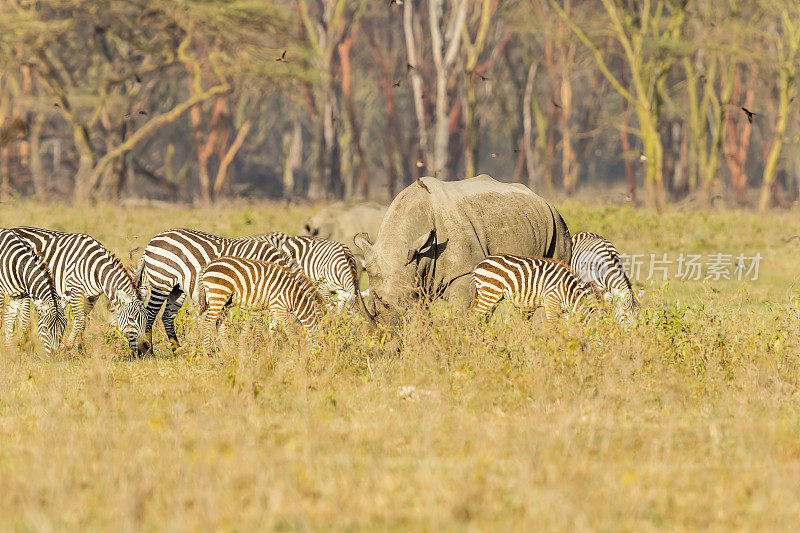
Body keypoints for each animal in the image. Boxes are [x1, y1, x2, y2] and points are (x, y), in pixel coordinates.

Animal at [11, 225, 150, 354]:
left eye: (146, 319)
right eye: (131, 319)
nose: (145, 347)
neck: (96, 270)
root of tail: (15, 229)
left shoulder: (92, 297)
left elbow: (82, 322)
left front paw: (81, 350)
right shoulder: (75, 290)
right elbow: (79, 320)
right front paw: (68, 345)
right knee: (23, 315)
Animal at [134, 228, 294, 354]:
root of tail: (155, 238)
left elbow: (270, 323)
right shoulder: (253, 291)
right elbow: (258, 322)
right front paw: (257, 348)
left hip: (176, 289)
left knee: (167, 316)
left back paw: (178, 351)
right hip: (161, 280)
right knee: (150, 314)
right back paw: (150, 352)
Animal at [198, 255, 326, 352]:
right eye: (321, 343)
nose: (320, 359)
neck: (293, 296)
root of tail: (208, 266)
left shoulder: (274, 308)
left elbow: (272, 329)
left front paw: (269, 350)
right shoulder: (279, 306)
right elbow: (288, 328)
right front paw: (295, 347)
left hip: (226, 302)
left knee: (220, 324)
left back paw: (228, 351)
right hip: (218, 295)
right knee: (208, 322)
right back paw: (207, 353)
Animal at [466, 252, 596, 322]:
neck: (568, 290)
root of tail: (479, 263)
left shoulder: (565, 311)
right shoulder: (551, 301)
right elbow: (553, 327)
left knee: (471, 316)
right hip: (489, 293)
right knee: (473, 317)